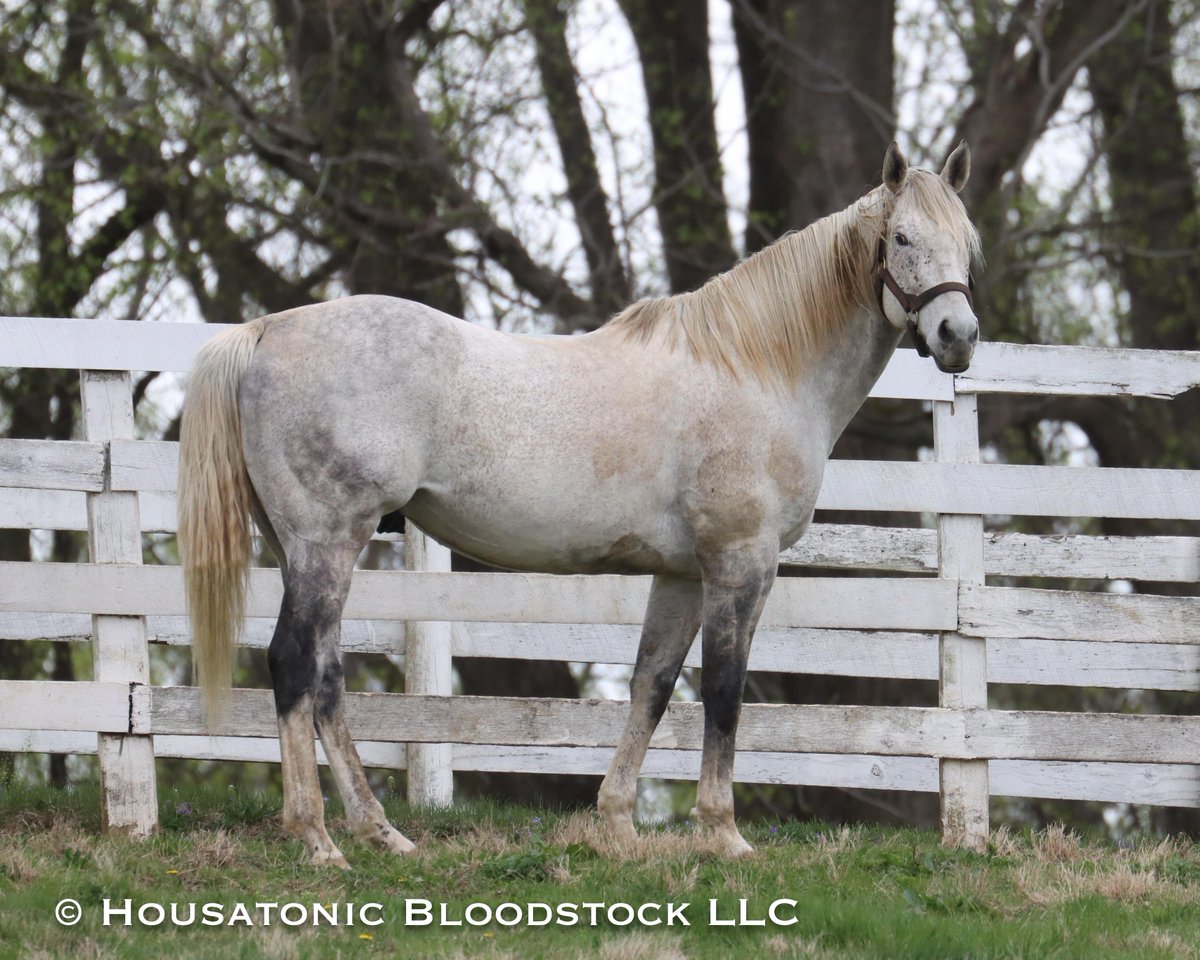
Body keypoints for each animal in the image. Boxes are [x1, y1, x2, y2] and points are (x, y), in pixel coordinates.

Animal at [180, 142, 984, 868]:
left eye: (967, 239)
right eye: (902, 238)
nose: (958, 337)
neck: (757, 368)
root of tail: (266, 331)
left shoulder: (682, 573)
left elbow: (651, 686)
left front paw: (619, 826)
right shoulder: (740, 562)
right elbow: (723, 692)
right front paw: (724, 835)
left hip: (304, 548)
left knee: (325, 677)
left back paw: (381, 834)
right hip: (327, 542)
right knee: (294, 665)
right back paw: (318, 841)